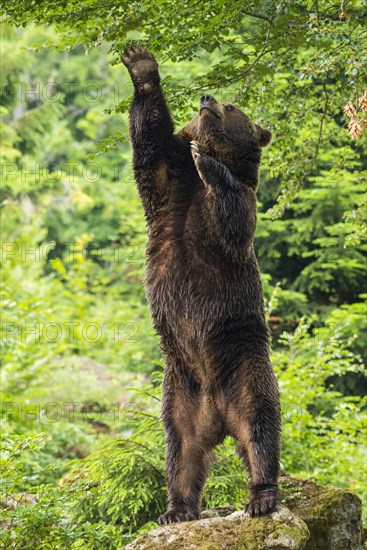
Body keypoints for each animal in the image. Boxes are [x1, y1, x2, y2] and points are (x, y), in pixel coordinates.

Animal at [121, 45, 282, 524]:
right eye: (210, 102)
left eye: (232, 106)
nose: (208, 98)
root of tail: (218, 414)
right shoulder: (168, 188)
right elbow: (150, 143)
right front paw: (141, 66)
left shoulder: (235, 209)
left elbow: (233, 215)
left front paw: (208, 161)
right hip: (178, 393)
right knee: (180, 452)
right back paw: (176, 508)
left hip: (247, 366)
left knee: (261, 427)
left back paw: (261, 495)